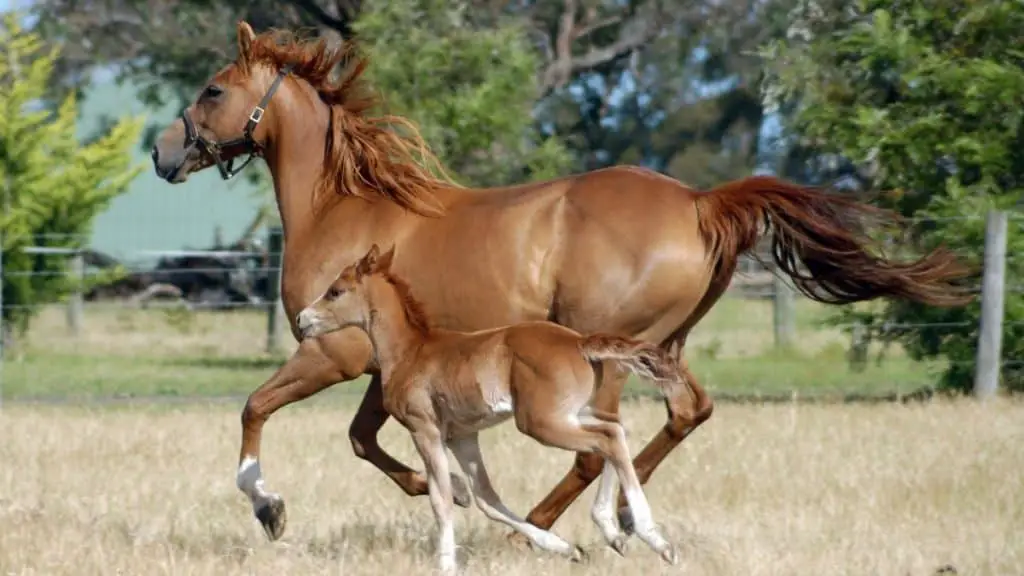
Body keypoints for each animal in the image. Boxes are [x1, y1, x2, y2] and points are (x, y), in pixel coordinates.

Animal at [296, 242, 692, 569]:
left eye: (335, 291)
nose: (302, 320)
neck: (411, 351)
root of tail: (579, 343)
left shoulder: (424, 429)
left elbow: (441, 498)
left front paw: (446, 564)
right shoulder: (461, 436)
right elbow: (486, 497)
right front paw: (565, 548)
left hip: (540, 422)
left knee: (606, 439)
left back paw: (653, 539)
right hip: (574, 413)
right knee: (615, 431)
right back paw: (613, 531)